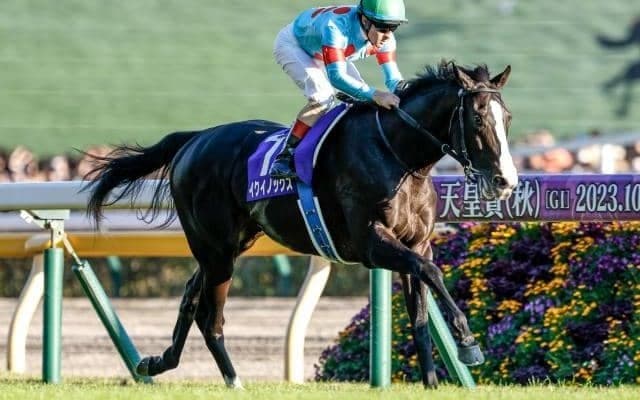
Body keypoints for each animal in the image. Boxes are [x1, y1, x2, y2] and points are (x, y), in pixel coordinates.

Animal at [85, 60, 517, 388]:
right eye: (478, 117)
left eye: (507, 117)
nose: (506, 181)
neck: (399, 156)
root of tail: (195, 139)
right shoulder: (371, 243)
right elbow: (431, 273)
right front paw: (468, 342)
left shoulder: (416, 243)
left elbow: (422, 314)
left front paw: (430, 381)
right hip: (216, 249)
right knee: (211, 317)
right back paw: (233, 380)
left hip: (229, 244)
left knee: (192, 294)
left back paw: (156, 362)